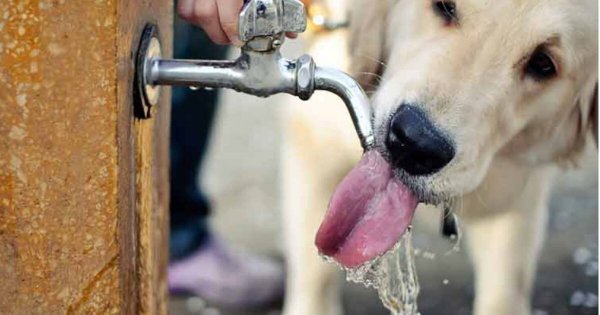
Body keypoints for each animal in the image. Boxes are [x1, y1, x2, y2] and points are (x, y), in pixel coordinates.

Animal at [280, 0, 596, 315]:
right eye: (444, 6)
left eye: (543, 63)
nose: (414, 144)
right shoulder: (316, 143)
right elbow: (315, 280)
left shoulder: (515, 200)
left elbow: (503, 294)